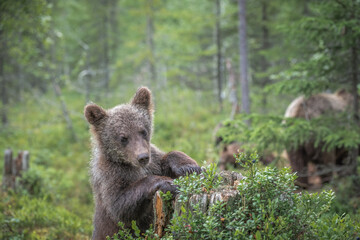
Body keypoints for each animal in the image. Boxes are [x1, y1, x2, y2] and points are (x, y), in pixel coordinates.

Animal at [85, 87, 202, 239]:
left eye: (143, 131)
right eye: (123, 137)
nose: (143, 157)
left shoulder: (153, 161)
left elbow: (166, 158)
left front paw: (188, 167)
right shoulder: (110, 175)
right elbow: (120, 206)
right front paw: (168, 183)